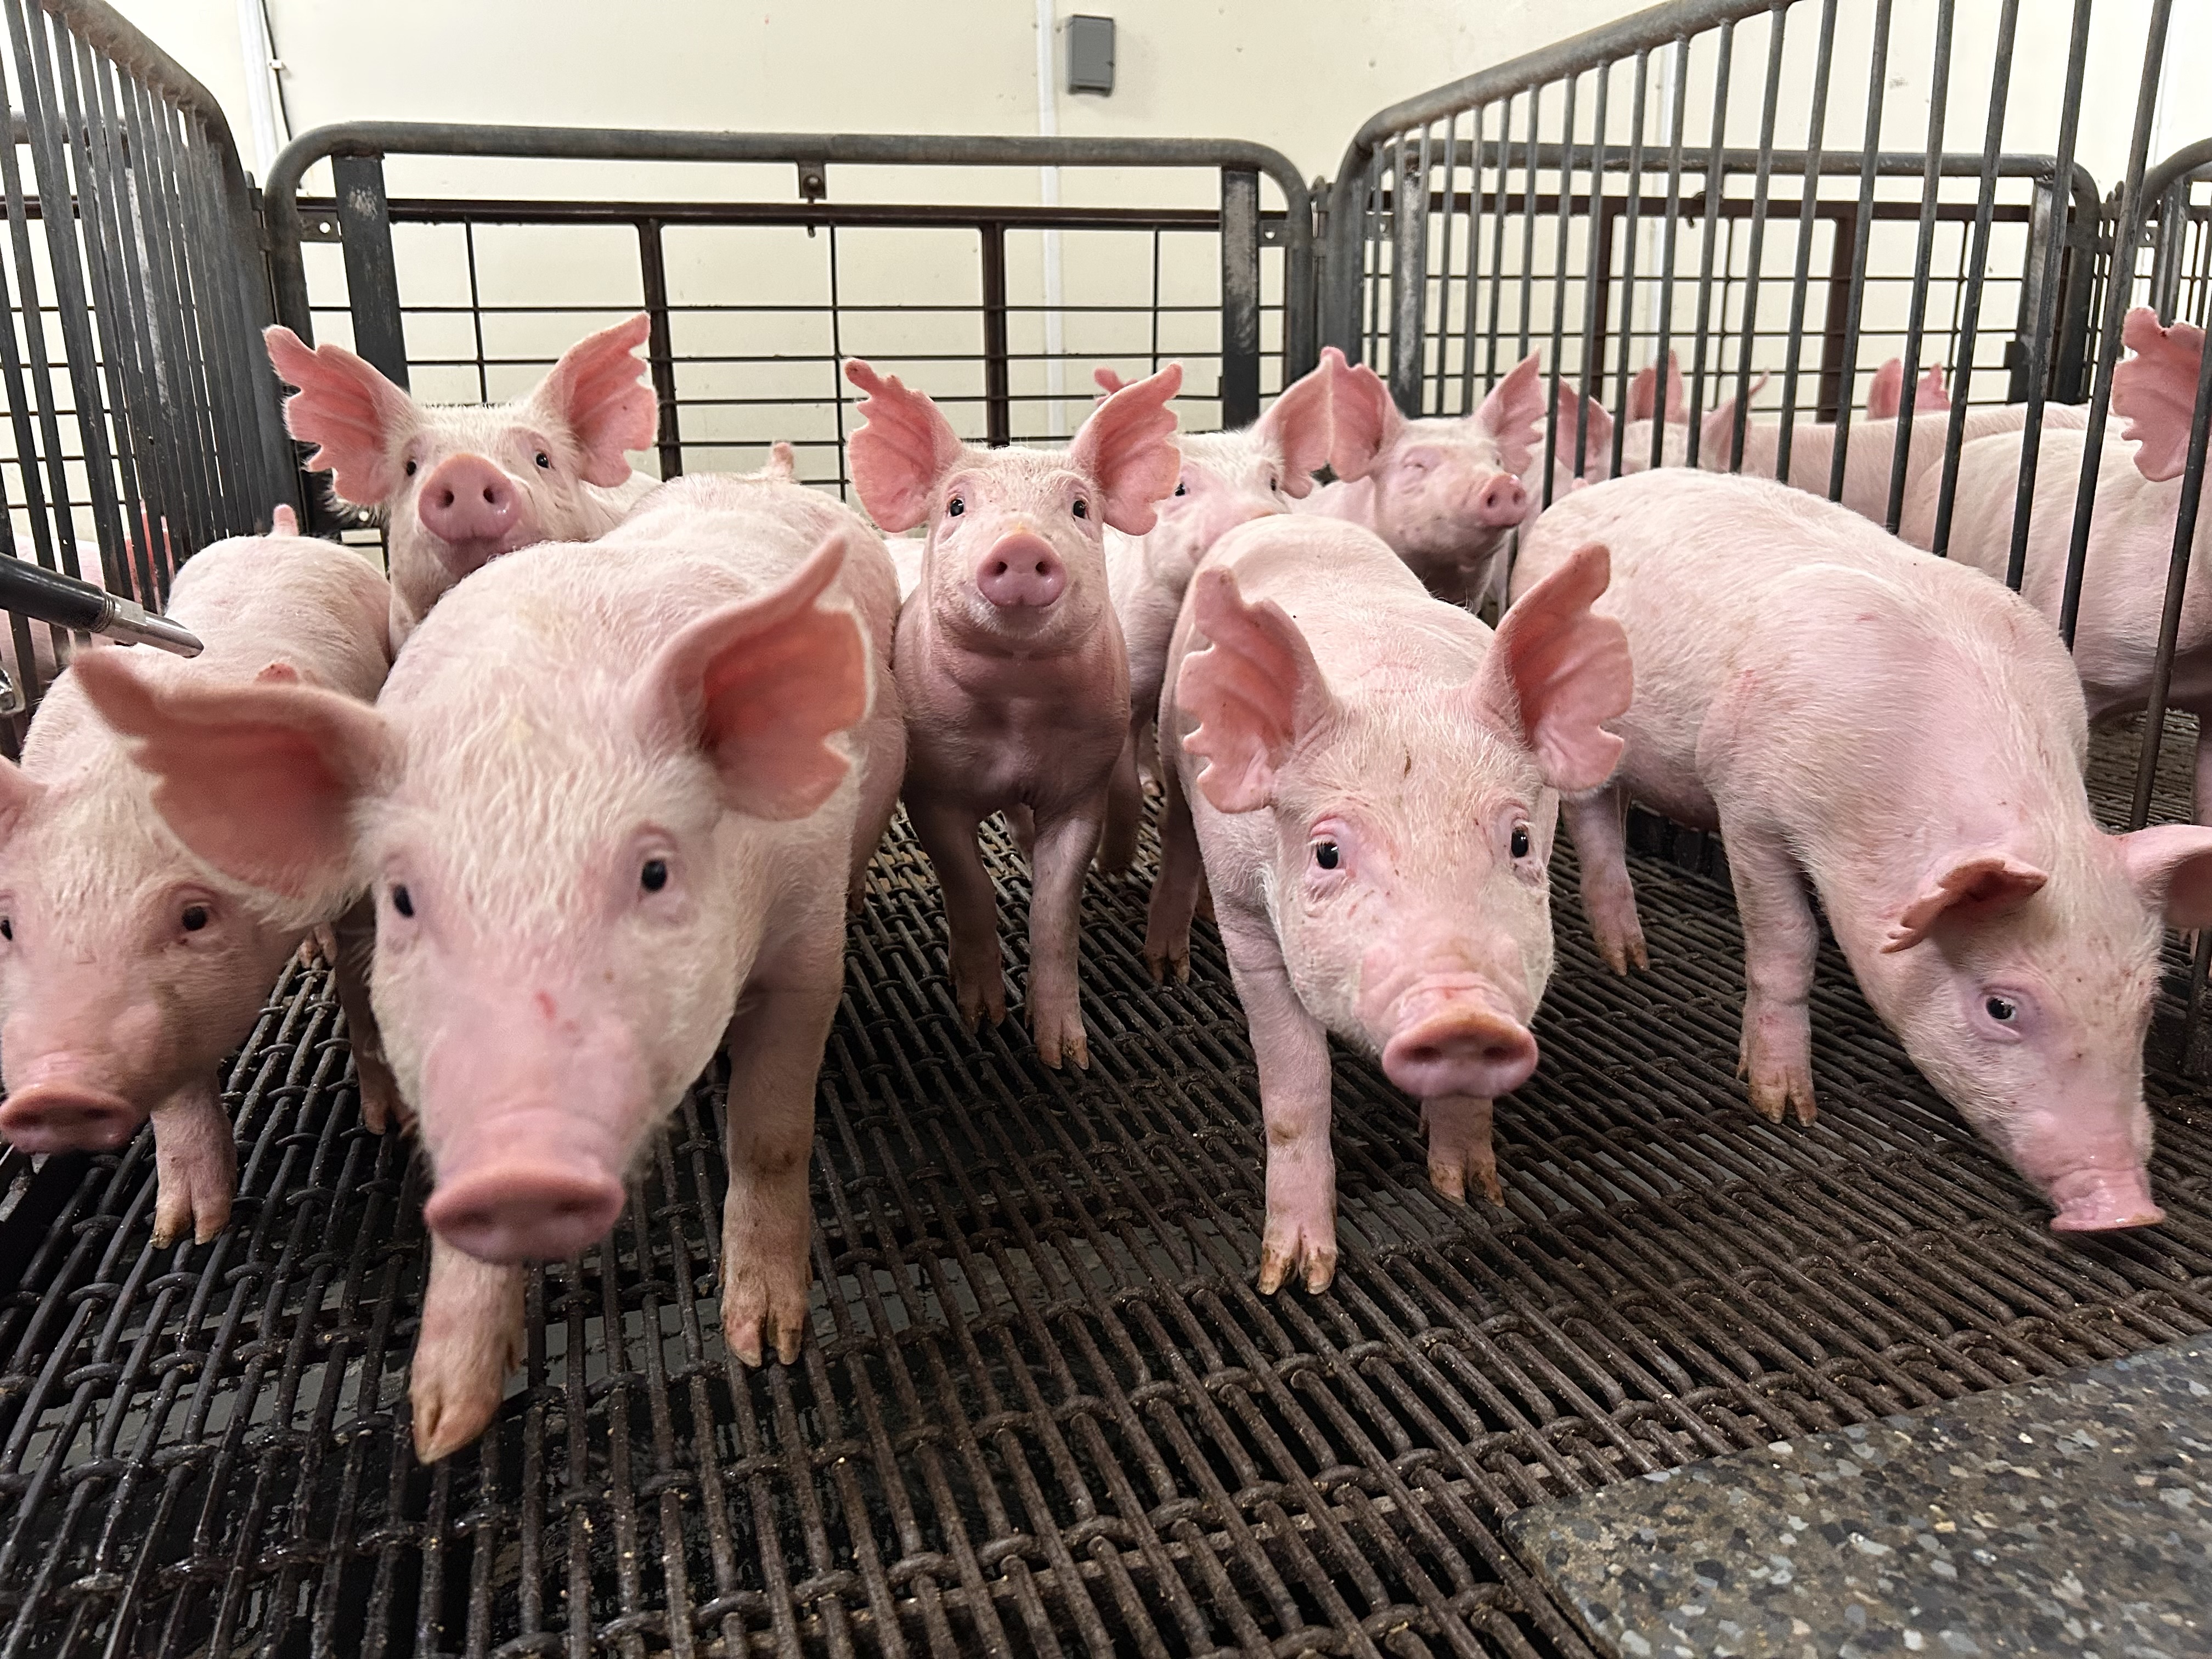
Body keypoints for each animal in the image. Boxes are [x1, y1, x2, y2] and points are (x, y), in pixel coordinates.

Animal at [0, 532, 394, 1247]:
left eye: (194, 917)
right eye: (8, 926)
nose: (54, 1092)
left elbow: (363, 973)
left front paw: (387, 1123)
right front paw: (186, 1232)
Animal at [76, 468, 906, 1462]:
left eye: (655, 870)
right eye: (402, 898)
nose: (518, 1167)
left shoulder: (806, 938)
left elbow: (772, 1134)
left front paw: (767, 1342)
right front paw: (439, 1426)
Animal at [844, 358, 1181, 1068]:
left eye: (1080, 508)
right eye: (956, 505)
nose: (1024, 546)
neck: (1018, 712)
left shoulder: (1080, 785)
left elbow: (1056, 907)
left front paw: (1066, 1055)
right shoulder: (932, 787)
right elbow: (967, 884)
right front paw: (981, 1020)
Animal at [1144, 516, 1631, 1292]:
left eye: (1521, 840)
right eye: (1327, 853)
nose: (1463, 1012)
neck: (1395, 687)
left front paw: (1470, 1192)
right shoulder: (1248, 925)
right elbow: (1295, 1087)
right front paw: (1296, 1276)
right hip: (1170, 735)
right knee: (1175, 829)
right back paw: (1168, 958)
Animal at [1517, 467, 2212, 1232]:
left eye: (2148, 1002)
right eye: (2002, 1008)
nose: (2126, 1209)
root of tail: (1591, 490)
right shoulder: (1747, 804)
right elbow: (1787, 942)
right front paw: (1784, 1108)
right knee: (1594, 820)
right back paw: (1629, 962)